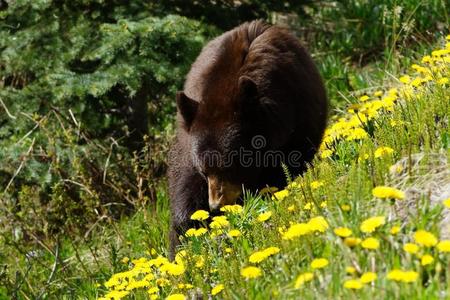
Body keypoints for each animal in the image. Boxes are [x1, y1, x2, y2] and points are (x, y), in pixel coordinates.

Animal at [168, 20, 326, 255]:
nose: (216, 205)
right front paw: (188, 226)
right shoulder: (189, 141)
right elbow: (185, 181)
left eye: (230, 166)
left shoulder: (298, 119)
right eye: (205, 171)